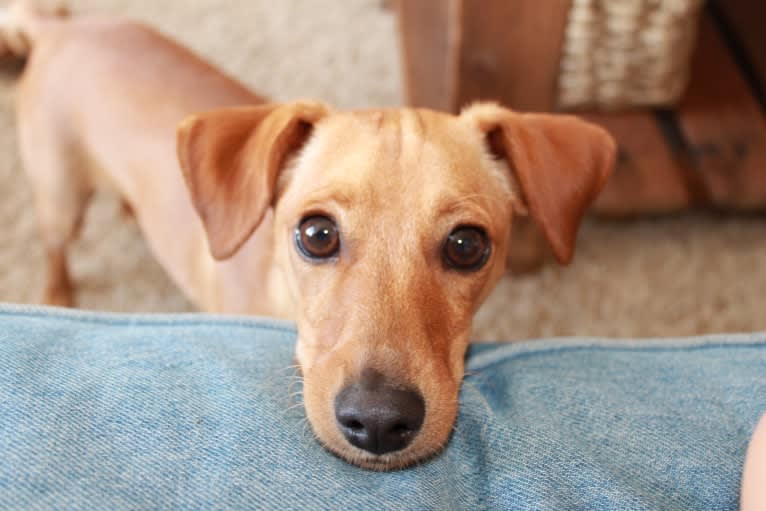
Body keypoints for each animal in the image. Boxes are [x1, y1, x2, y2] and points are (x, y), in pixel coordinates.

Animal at [0, 1, 612, 472]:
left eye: (467, 245)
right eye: (317, 235)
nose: (379, 421)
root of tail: (59, 27)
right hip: (61, 200)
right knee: (55, 249)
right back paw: (58, 295)